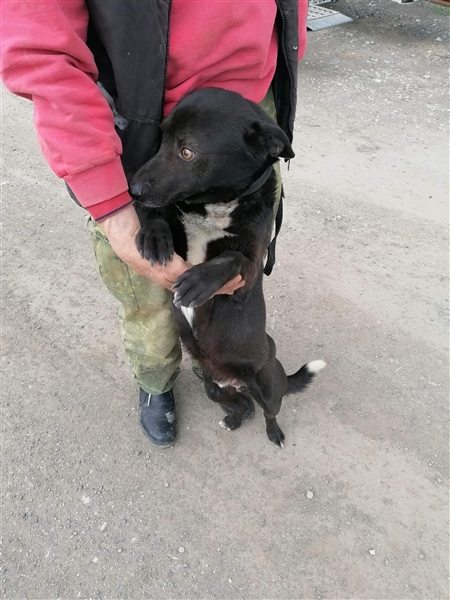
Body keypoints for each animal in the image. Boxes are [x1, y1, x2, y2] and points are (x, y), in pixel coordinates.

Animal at [129, 88, 325, 448]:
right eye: (161, 139)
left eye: (187, 151)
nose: (132, 190)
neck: (215, 207)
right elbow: (159, 216)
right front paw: (153, 235)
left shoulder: (247, 278)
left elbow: (232, 258)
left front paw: (198, 280)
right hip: (213, 387)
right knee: (243, 405)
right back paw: (233, 419)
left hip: (268, 387)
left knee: (268, 411)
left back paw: (274, 433)